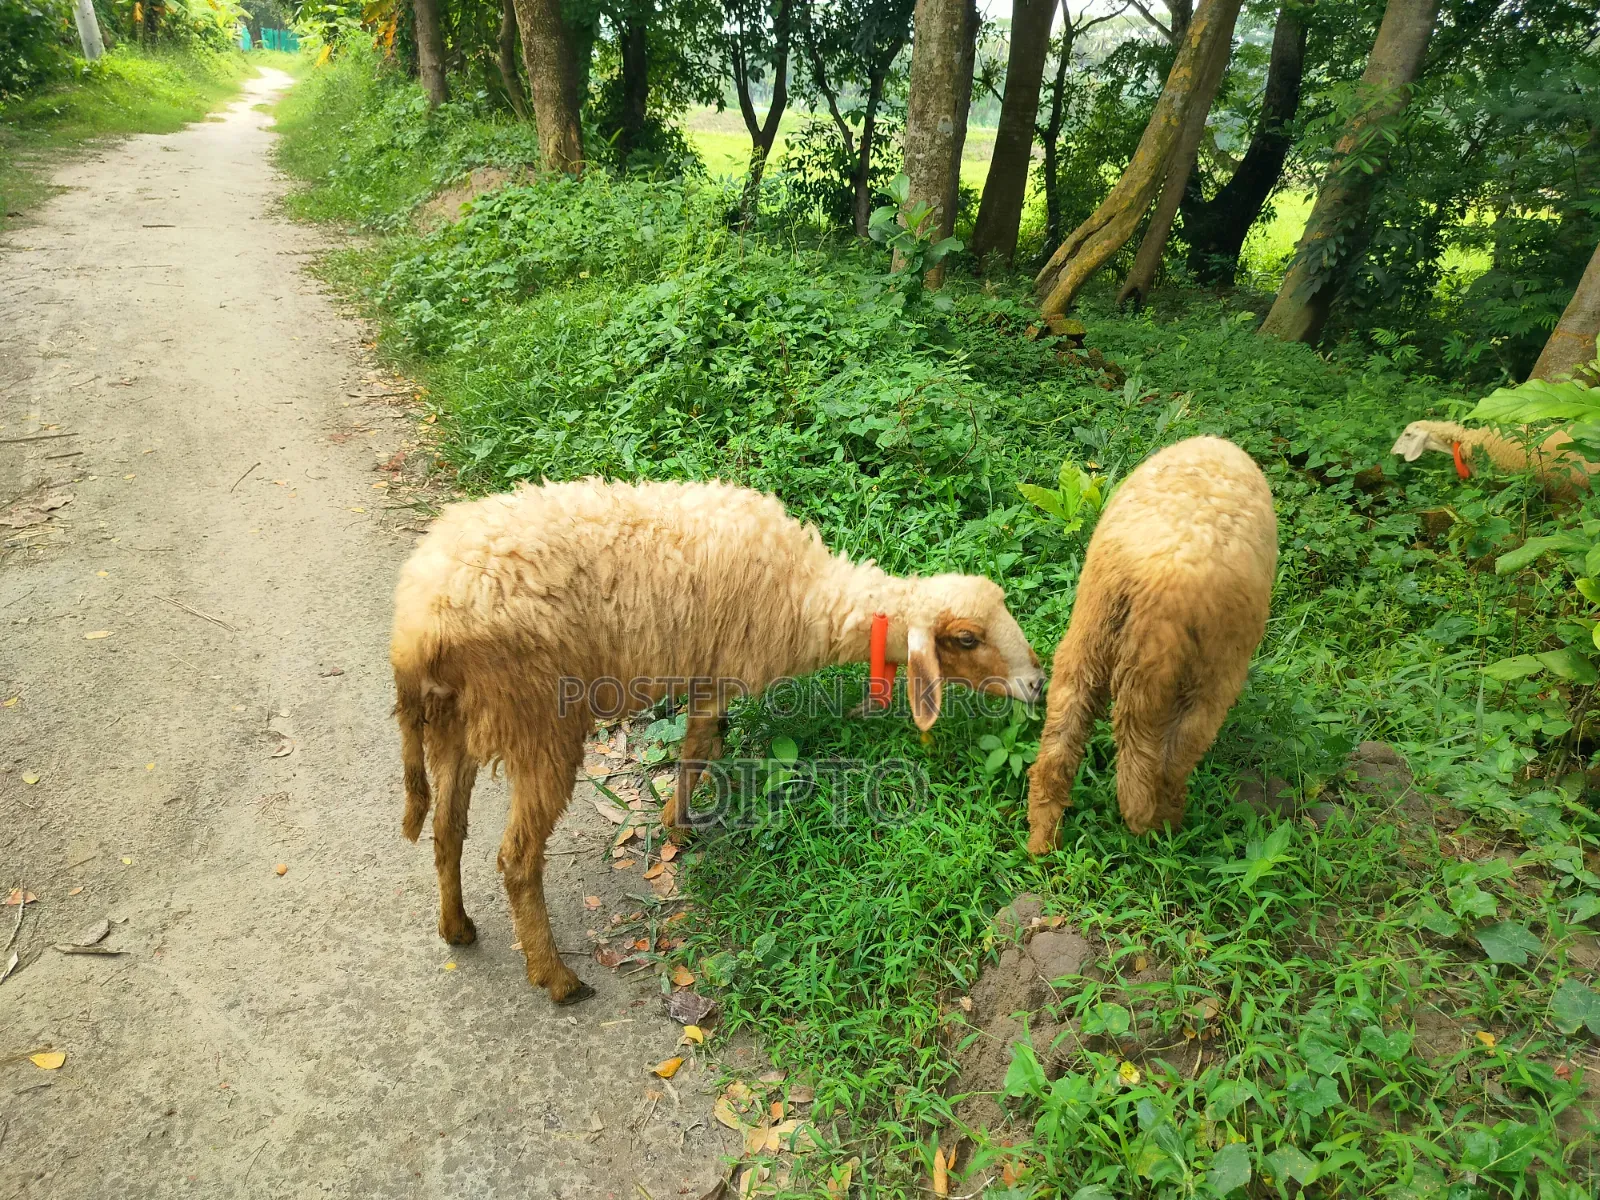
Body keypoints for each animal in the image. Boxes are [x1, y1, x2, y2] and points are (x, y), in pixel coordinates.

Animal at [391, 478, 1045, 1005]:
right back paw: (555, 977)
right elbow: (700, 750)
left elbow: (699, 748)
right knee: (516, 858)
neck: (808, 596)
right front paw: (680, 827)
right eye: (967, 639)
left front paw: (674, 823)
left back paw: (456, 927)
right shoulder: (721, 670)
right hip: (535, 722)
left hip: (453, 725)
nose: (1038, 683)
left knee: (447, 827)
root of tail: (420, 625)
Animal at [1025, 437, 1277, 849]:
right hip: (1210, 676)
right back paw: (1167, 828)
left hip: (1086, 639)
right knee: (1167, 764)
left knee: (1057, 750)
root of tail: (1156, 590)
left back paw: (1043, 843)